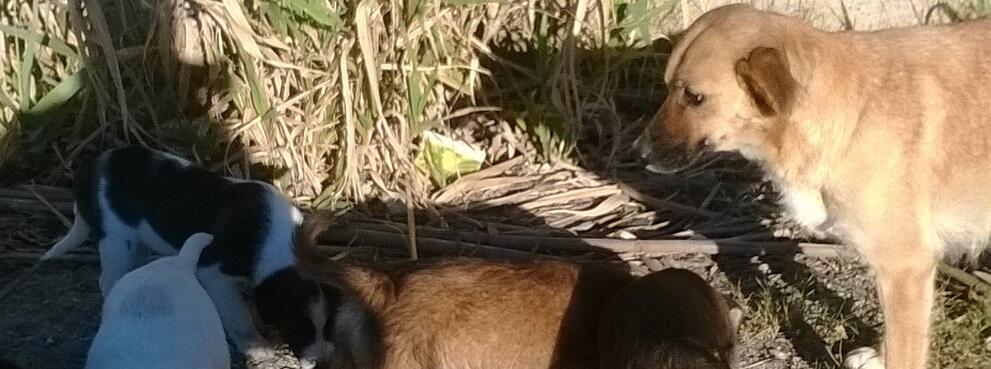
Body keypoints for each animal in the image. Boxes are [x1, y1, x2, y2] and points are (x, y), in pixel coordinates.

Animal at [640, 3, 988, 368]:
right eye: (667, 87)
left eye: (695, 97)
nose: (640, 152)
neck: (852, 116)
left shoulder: (906, 267)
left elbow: (904, 351)